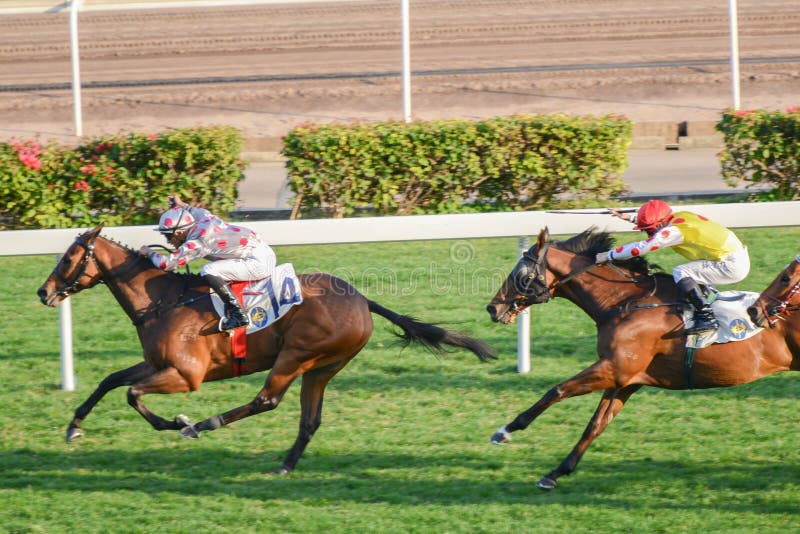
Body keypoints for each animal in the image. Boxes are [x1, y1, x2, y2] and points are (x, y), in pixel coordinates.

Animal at [37, 225, 496, 474]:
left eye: (68, 259)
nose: (43, 292)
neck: (164, 299)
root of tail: (362, 299)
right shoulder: (155, 363)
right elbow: (110, 380)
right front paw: (74, 426)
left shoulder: (186, 375)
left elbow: (133, 395)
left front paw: (177, 421)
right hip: (323, 366)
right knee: (310, 419)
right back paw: (286, 463)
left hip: (295, 355)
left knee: (267, 400)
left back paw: (203, 424)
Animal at [485, 227, 800, 490]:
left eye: (521, 274)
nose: (492, 308)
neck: (625, 302)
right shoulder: (625, 379)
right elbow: (595, 424)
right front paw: (555, 473)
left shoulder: (614, 368)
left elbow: (556, 390)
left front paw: (505, 431)